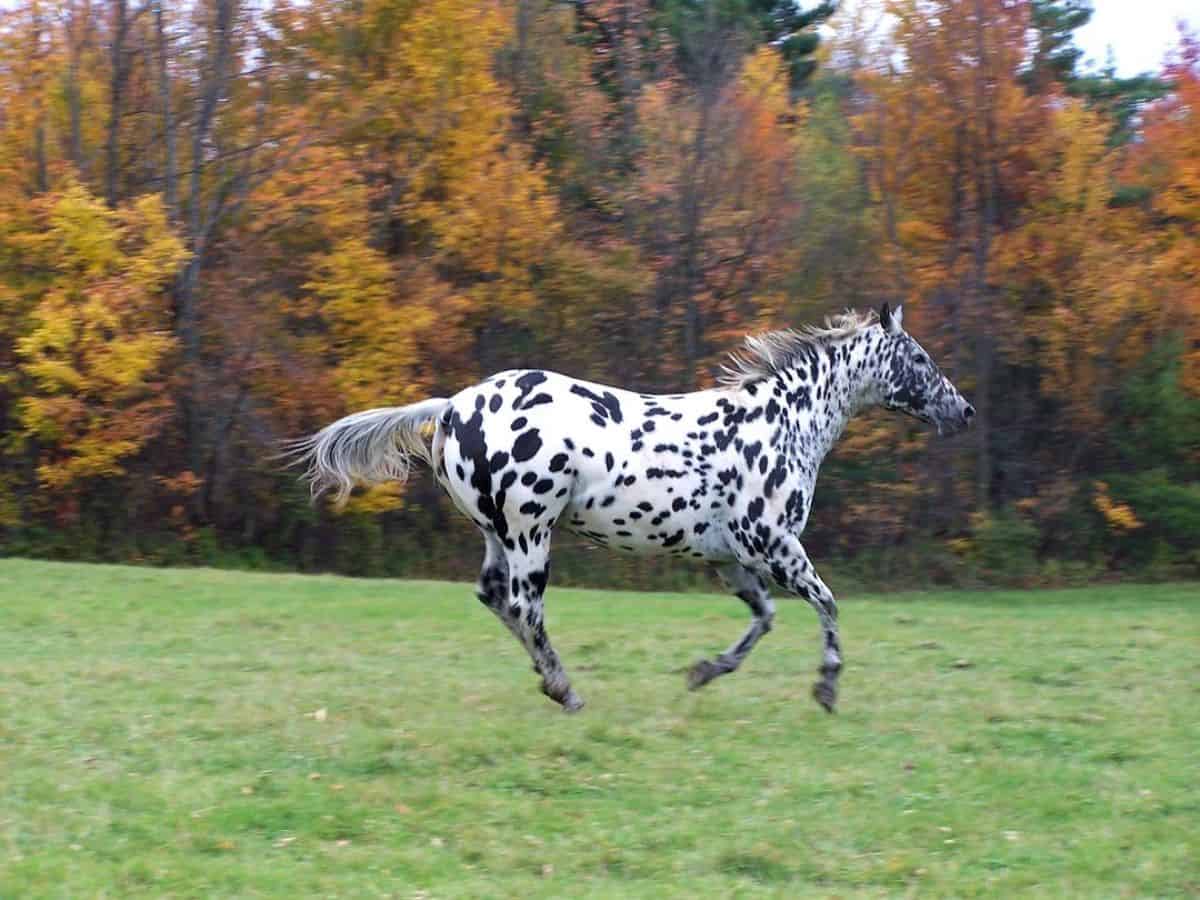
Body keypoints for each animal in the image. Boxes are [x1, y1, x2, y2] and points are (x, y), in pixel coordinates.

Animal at [292, 307, 974, 715]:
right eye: (917, 357)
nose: (963, 410)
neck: (783, 423)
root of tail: (456, 405)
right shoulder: (774, 544)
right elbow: (826, 605)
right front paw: (827, 687)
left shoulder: (731, 559)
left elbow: (764, 619)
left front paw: (704, 671)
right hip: (531, 532)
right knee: (524, 606)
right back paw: (565, 690)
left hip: (496, 533)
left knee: (494, 598)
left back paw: (551, 681)